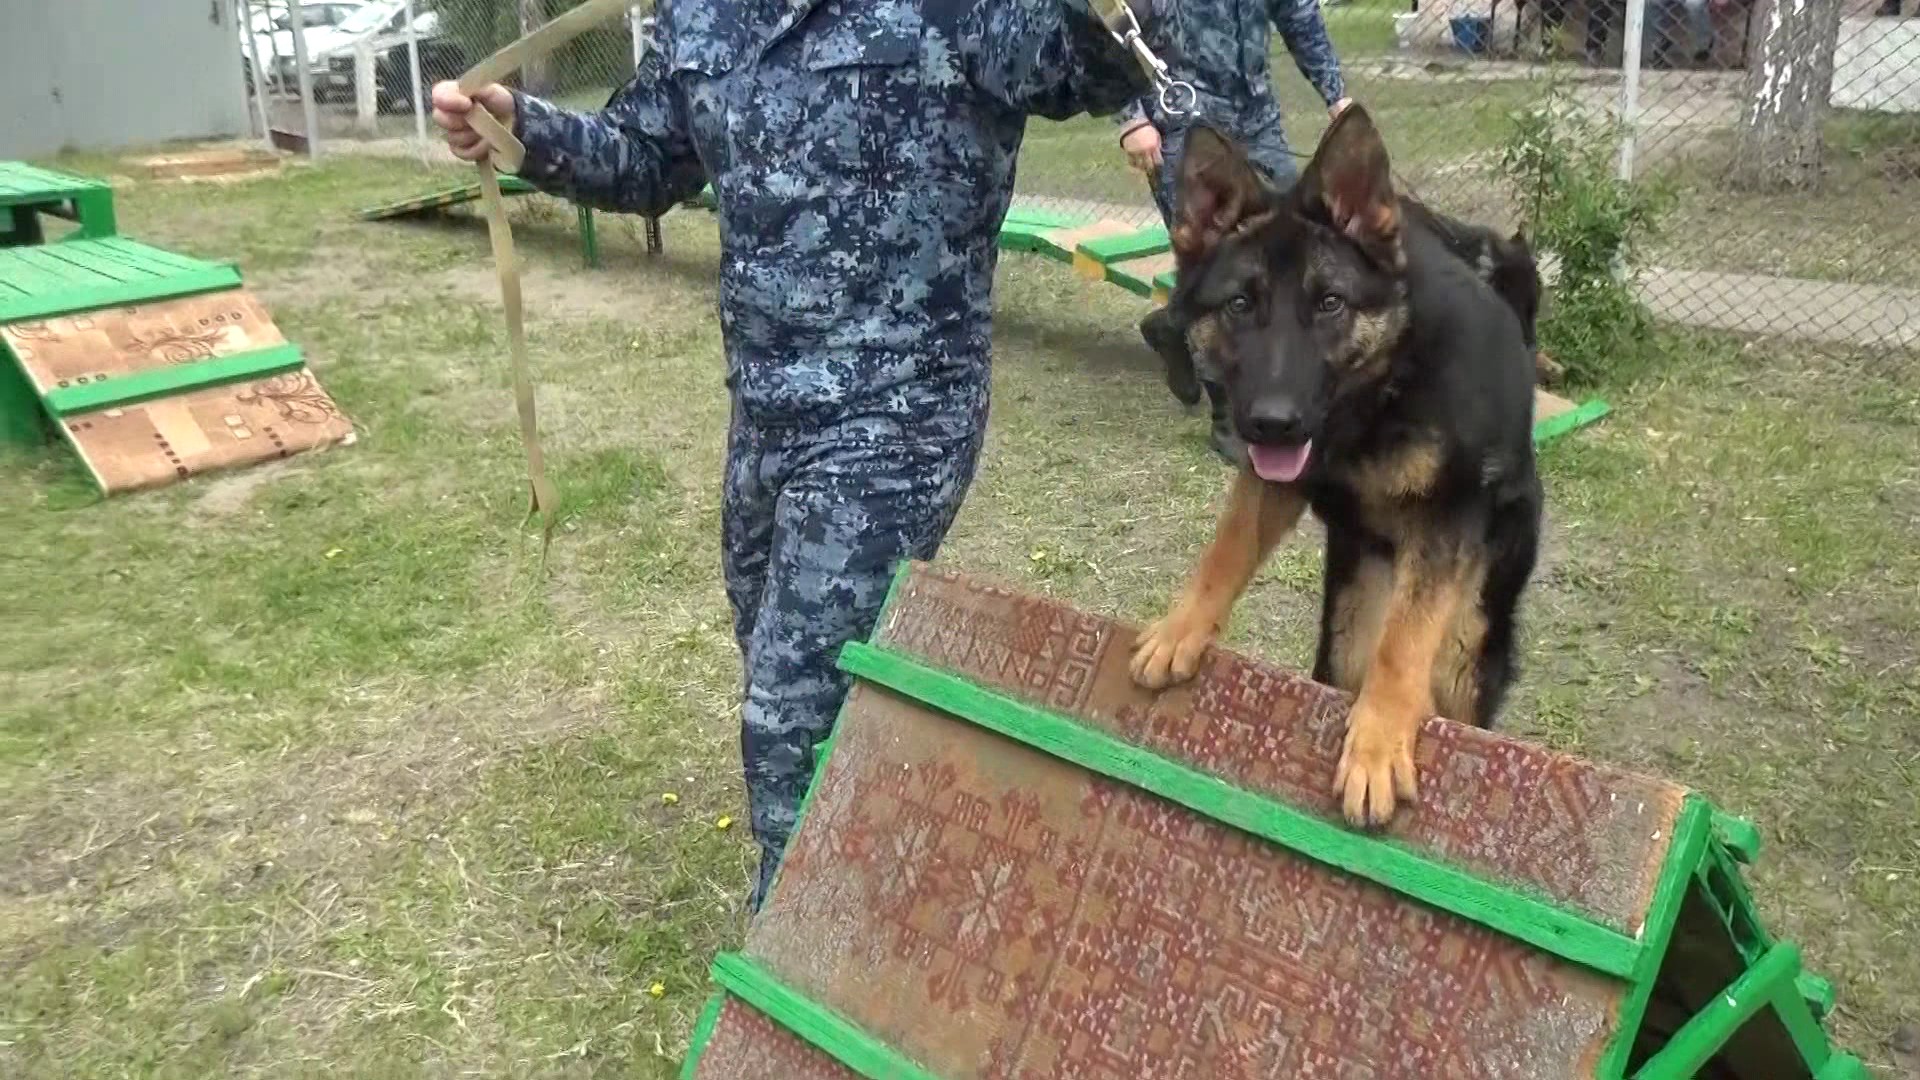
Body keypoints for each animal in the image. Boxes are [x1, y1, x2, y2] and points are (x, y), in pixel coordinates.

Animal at [1121, 105, 1543, 822]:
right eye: (1241, 305)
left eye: (1329, 304)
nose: (1272, 421)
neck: (1379, 394)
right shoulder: (1270, 484)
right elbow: (1224, 552)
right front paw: (1181, 630)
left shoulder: (1446, 521)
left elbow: (1403, 646)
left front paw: (1377, 743)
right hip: (1347, 630)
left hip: (1468, 634)